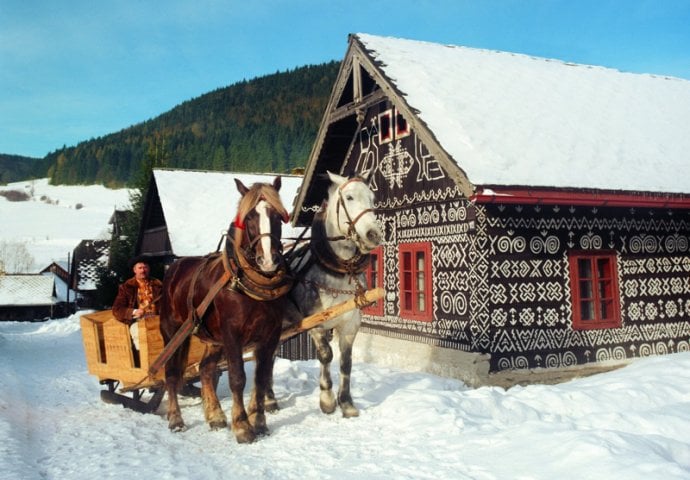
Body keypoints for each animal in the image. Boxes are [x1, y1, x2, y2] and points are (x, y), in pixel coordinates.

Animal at [159, 176, 292, 442]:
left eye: (276, 216)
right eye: (249, 217)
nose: (268, 260)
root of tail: (174, 268)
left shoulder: (270, 335)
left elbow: (261, 378)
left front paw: (259, 423)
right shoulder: (233, 335)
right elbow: (237, 378)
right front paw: (242, 426)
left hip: (213, 340)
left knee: (205, 369)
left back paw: (216, 416)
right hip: (173, 333)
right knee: (171, 373)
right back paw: (176, 419)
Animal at [276, 172, 382, 416]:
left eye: (373, 198)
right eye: (349, 197)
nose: (373, 234)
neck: (338, 272)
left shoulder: (350, 324)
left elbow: (346, 361)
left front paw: (347, 403)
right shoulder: (316, 324)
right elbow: (326, 355)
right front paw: (327, 400)